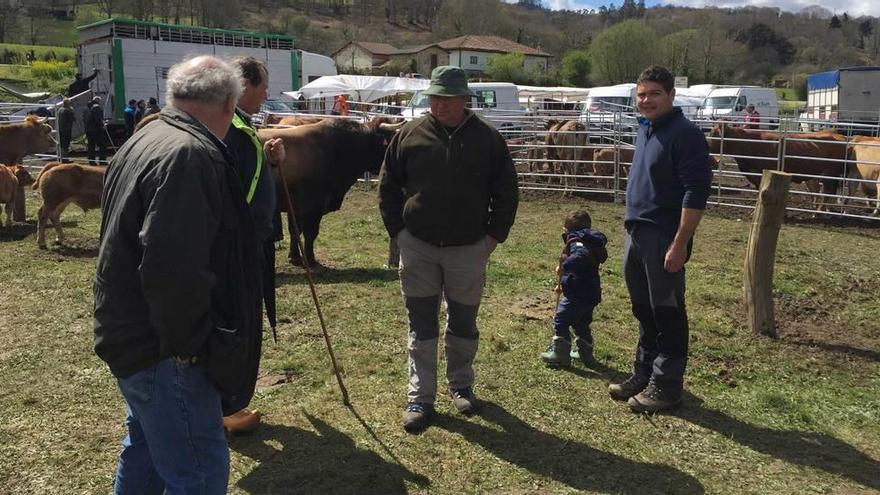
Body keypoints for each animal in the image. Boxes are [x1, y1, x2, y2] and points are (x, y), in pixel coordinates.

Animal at [258, 117, 402, 268]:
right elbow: (310, 233)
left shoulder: (295, 206)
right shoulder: (313, 206)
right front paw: (311, 259)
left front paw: (295, 257)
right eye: (391, 141)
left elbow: (295, 231)